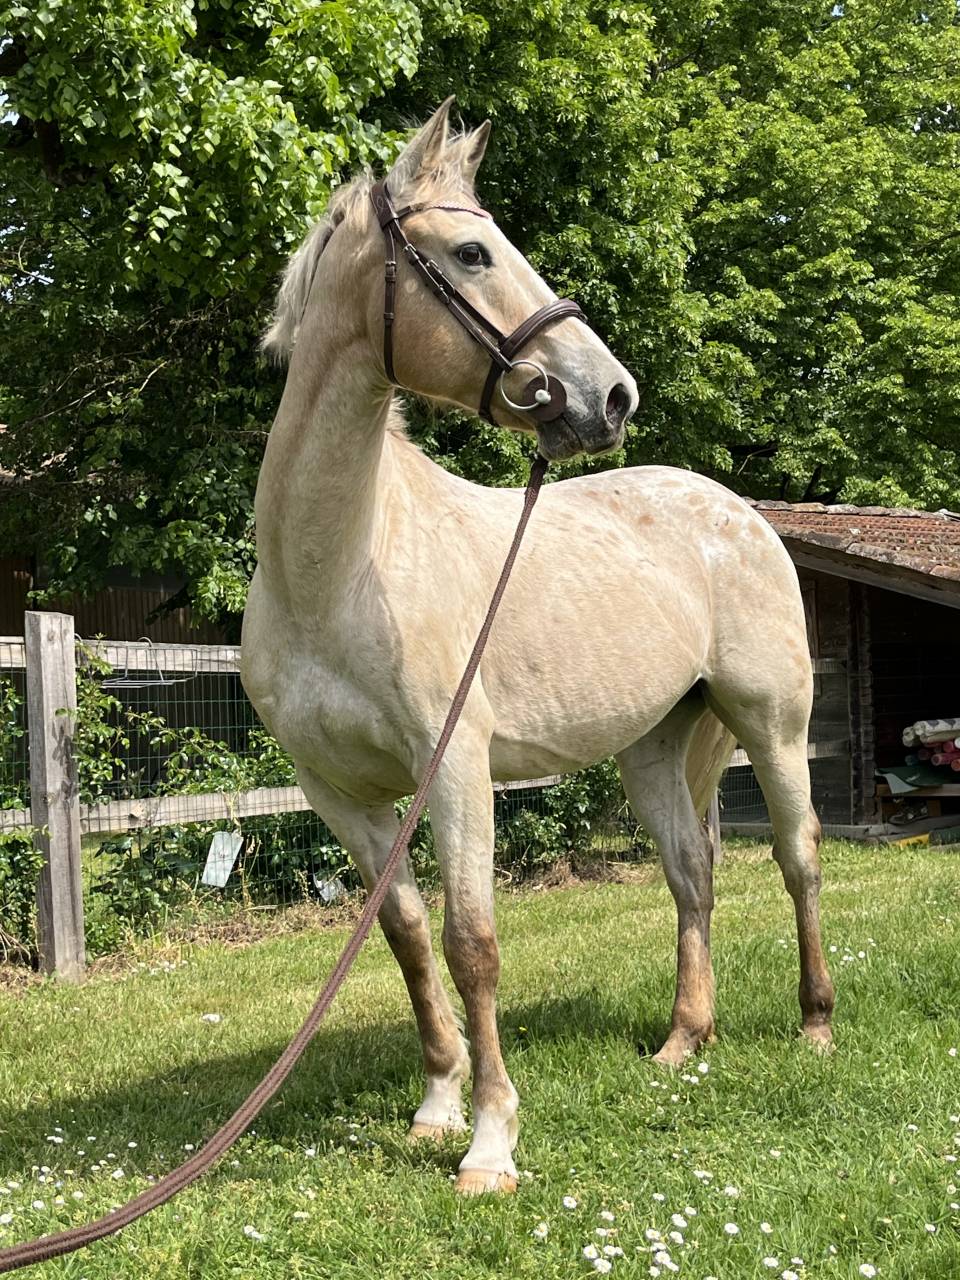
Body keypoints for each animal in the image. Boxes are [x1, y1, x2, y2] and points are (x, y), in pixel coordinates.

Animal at [241, 97, 835, 1196]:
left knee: (797, 854)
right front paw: (436, 1105)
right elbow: (407, 936)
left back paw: (815, 1024)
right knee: (691, 873)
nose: (612, 394)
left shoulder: (458, 772)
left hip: (772, 724)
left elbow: (473, 942)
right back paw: (682, 1041)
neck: (339, 573)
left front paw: (489, 1141)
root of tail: (737, 509)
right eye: (473, 252)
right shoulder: (339, 793)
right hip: (654, 745)